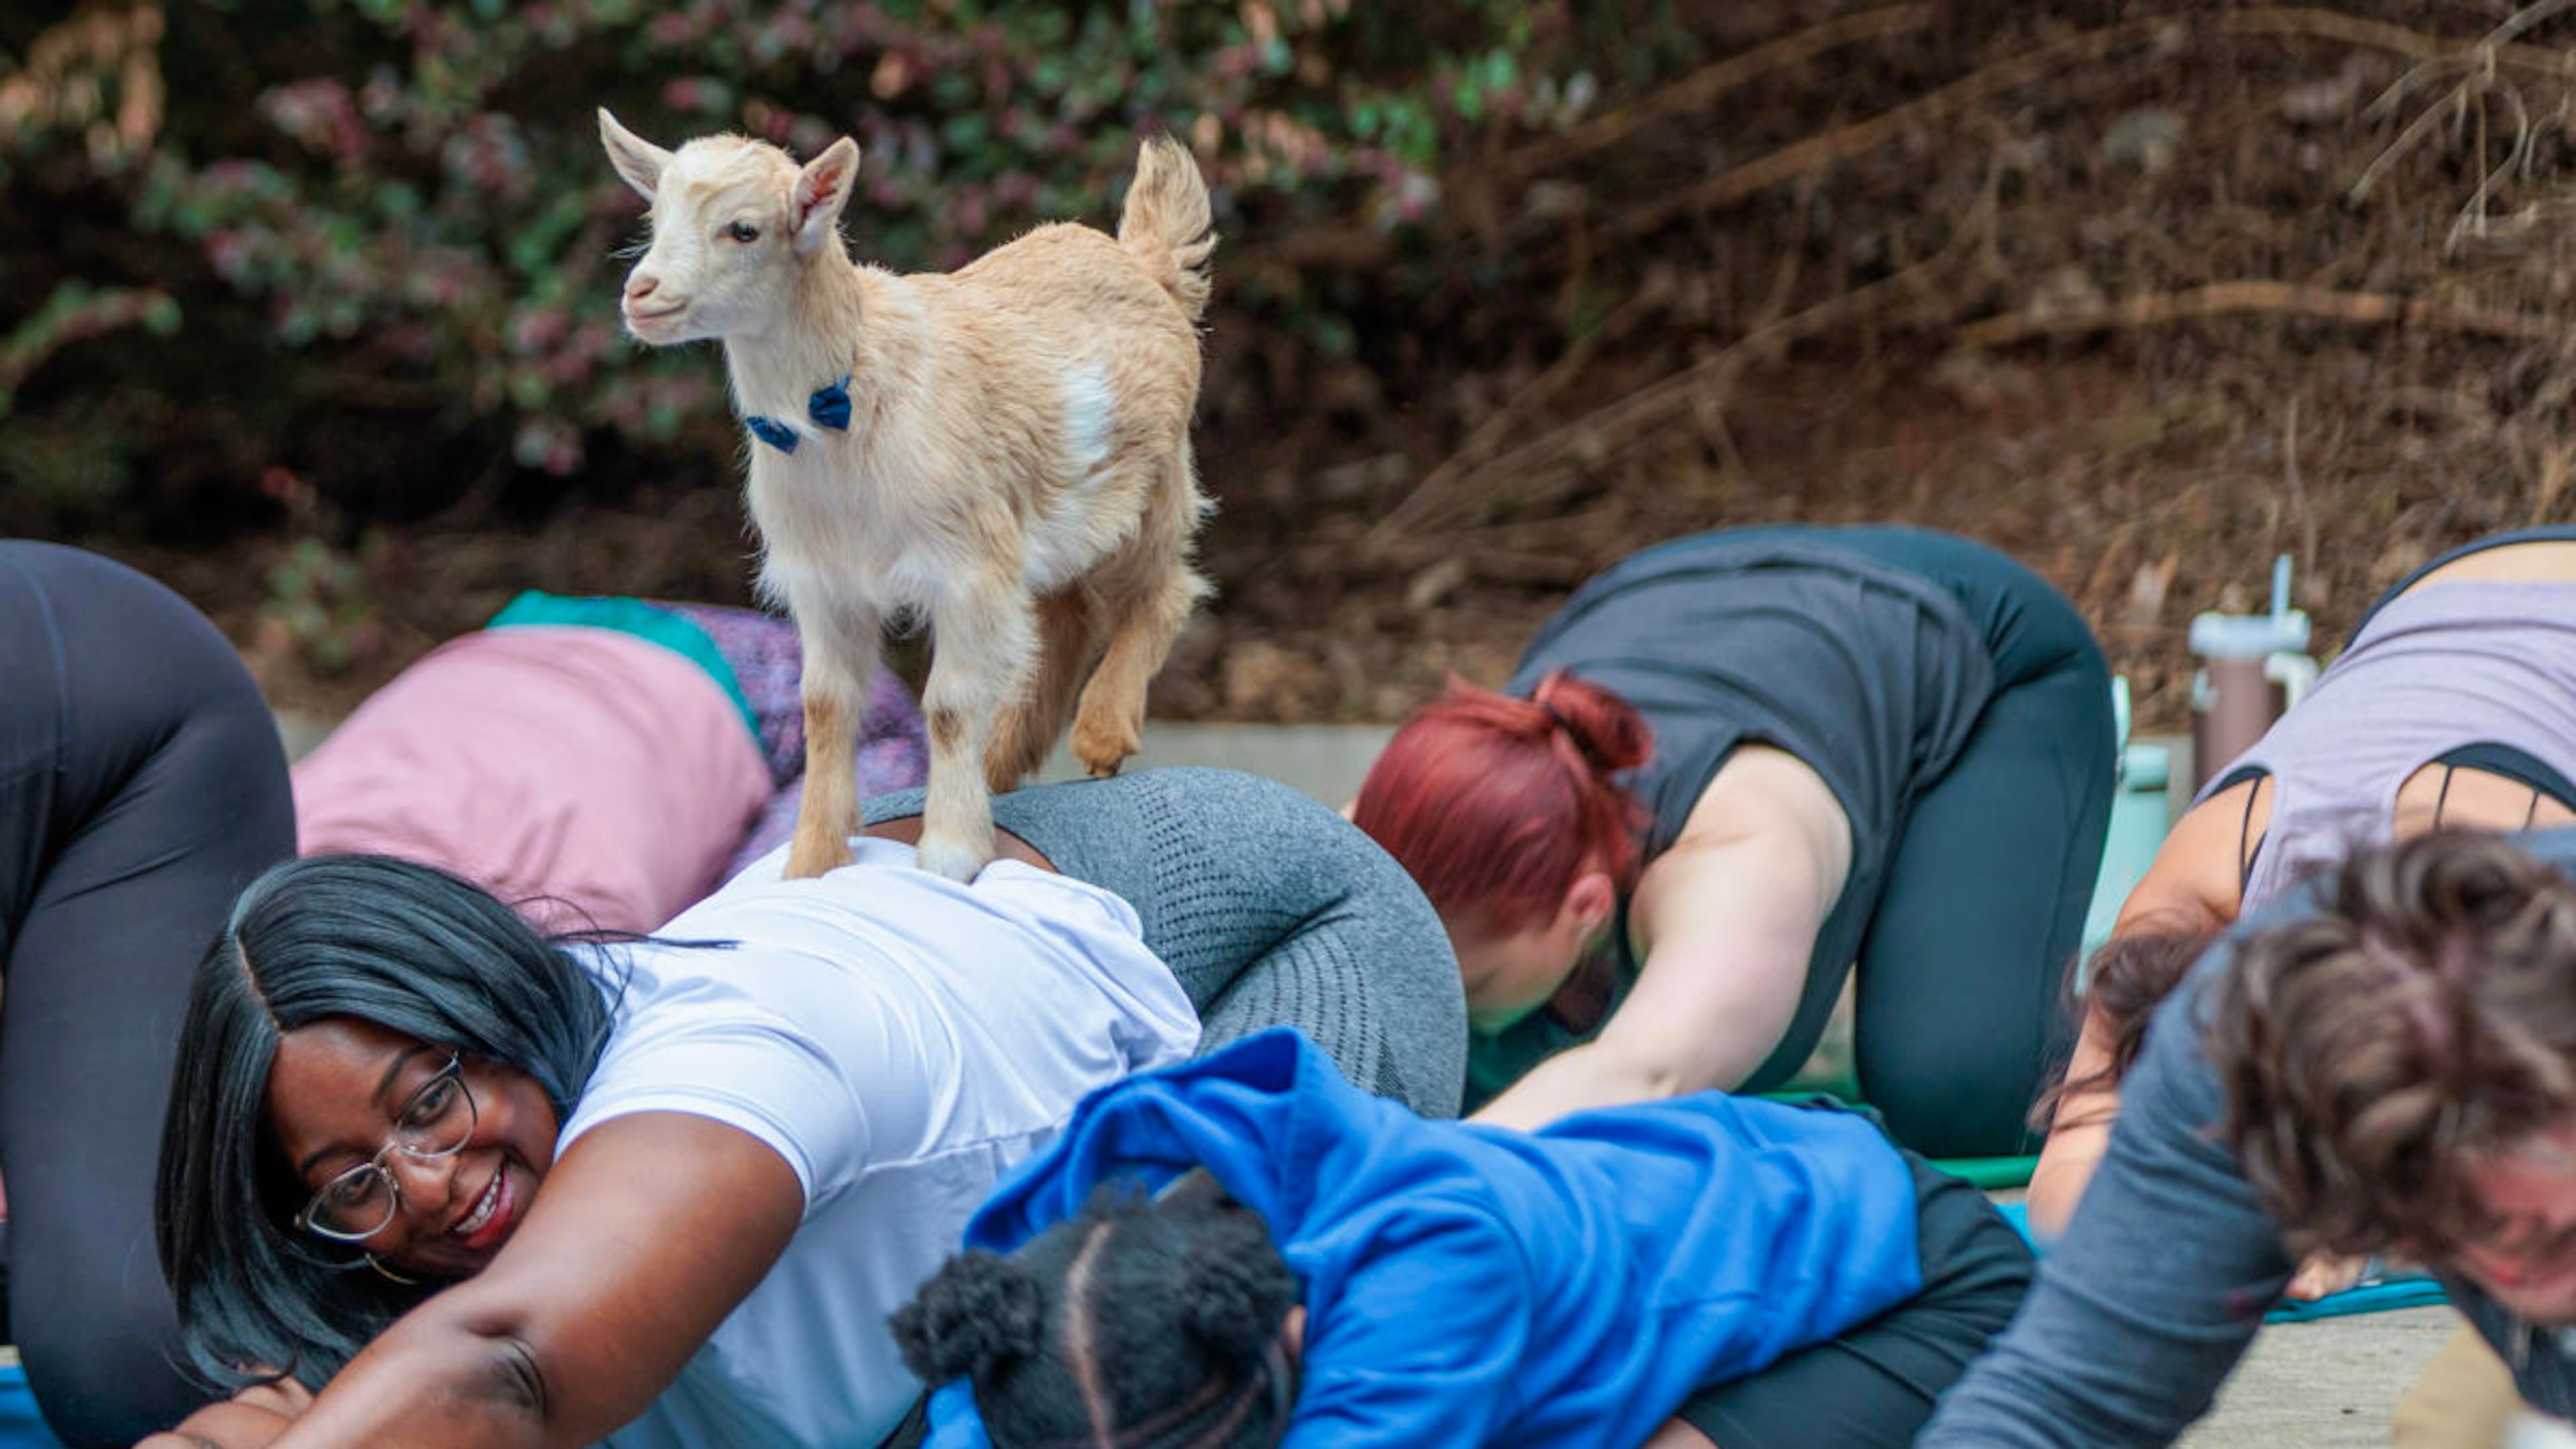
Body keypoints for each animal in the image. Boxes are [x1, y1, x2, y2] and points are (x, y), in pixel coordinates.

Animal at [598, 111, 1214, 882]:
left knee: (1164, 591)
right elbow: (825, 707)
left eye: (744, 230)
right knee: (1067, 617)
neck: (845, 401)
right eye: (654, 217)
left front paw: (950, 852)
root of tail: (1144, 262)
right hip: (1051, 518)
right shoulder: (826, 581)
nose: (641, 294)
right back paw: (1004, 758)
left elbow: (947, 706)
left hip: (1151, 485)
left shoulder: (967, 570)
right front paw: (812, 859)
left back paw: (1103, 730)